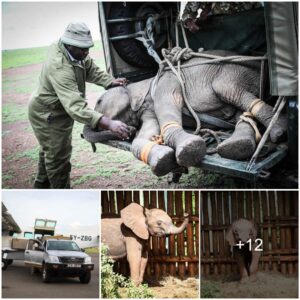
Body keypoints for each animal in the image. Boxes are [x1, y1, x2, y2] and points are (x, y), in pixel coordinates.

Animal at [83, 49, 288, 176]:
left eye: (99, 101)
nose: (128, 131)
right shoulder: (147, 109)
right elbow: (147, 133)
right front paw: (162, 160)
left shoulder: (167, 81)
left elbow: (169, 101)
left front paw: (190, 148)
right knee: (240, 112)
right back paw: (238, 146)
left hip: (235, 71)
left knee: (228, 89)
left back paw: (277, 132)